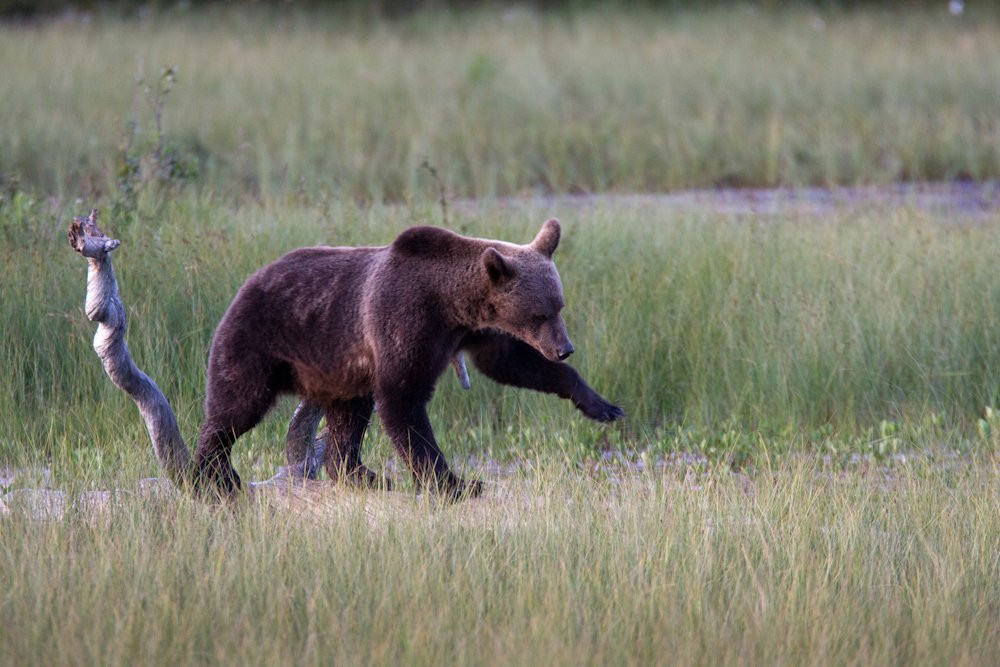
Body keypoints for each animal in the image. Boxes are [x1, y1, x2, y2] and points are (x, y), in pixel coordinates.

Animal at [191, 219, 620, 500]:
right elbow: (404, 400)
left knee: (348, 412)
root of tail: (250, 279)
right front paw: (457, 483)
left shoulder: (472, 331)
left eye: (558, 306)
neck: (451, 304)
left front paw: (601, 405)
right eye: (538, 314)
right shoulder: (406, 320)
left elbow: (510, 361)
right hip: (259, 340)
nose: (564, 347)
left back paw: (363, 475)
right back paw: (212, 475)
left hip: (338, 367)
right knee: (236, 405)